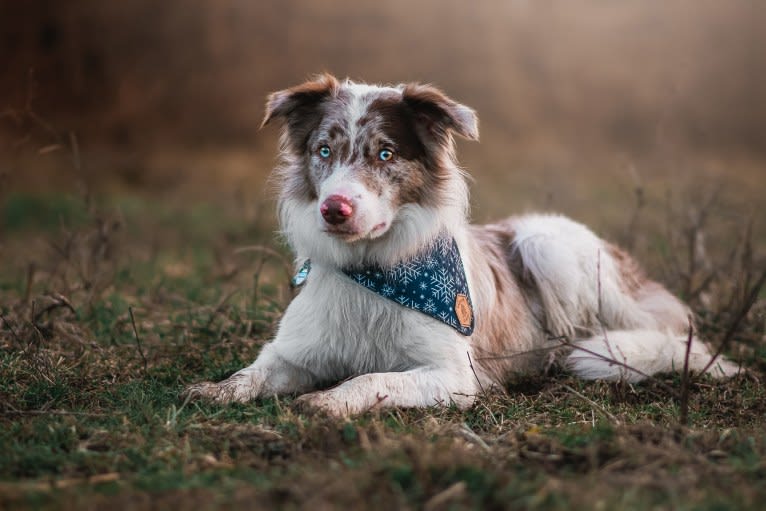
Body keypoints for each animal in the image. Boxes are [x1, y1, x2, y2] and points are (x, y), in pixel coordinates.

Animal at [184, 74, 736, 416]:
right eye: (324, 150)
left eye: (385, 154)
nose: (334, 209)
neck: (374, 268)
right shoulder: (296, 351)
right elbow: (254, 371)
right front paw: (215, 389)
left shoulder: (452, 374)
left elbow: (372, 379)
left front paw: (329, 401)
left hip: (547, 243)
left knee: (672, 336)